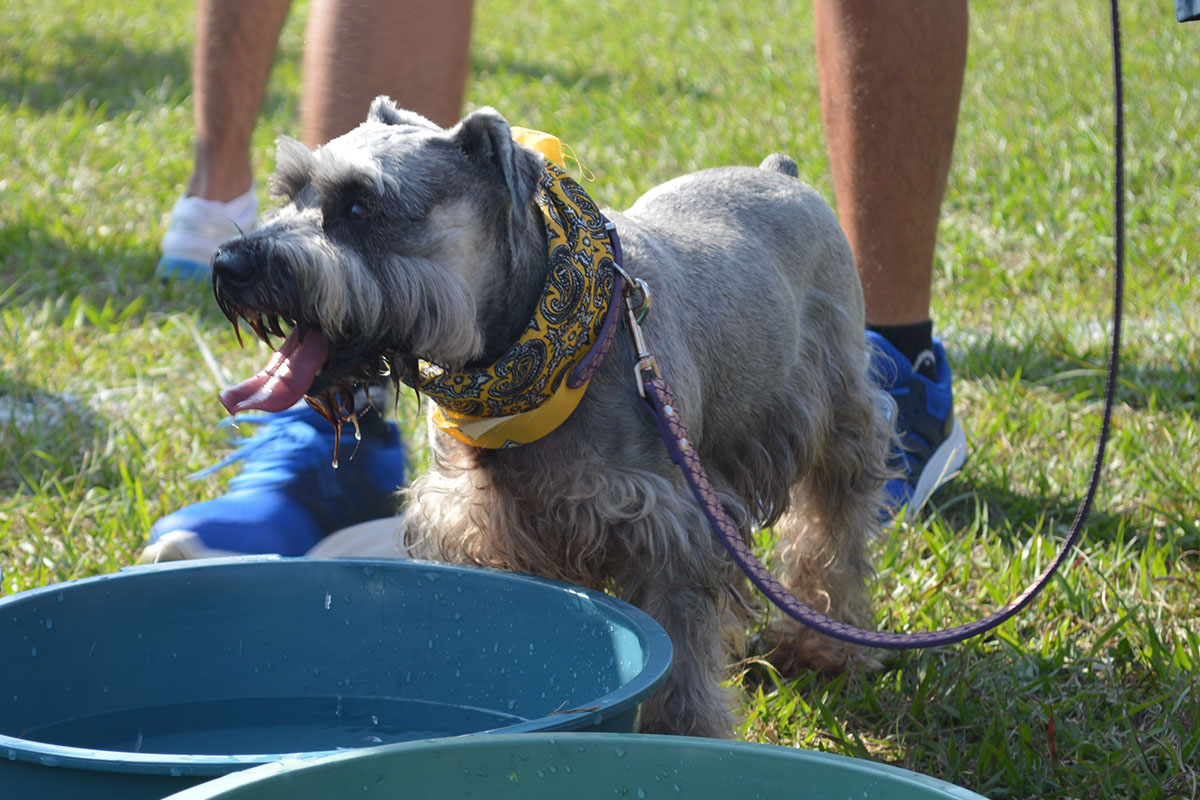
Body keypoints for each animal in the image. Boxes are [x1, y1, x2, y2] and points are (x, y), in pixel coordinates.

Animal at [211, 95, 897, 738]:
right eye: (288, 192)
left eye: (358, 206)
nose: (229, 264)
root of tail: (784, 175)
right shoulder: (483, 528)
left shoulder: (669, 529)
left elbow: (682, 658)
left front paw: (684, 735)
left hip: (839, 417)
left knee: (832, 530)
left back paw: (826, 645)